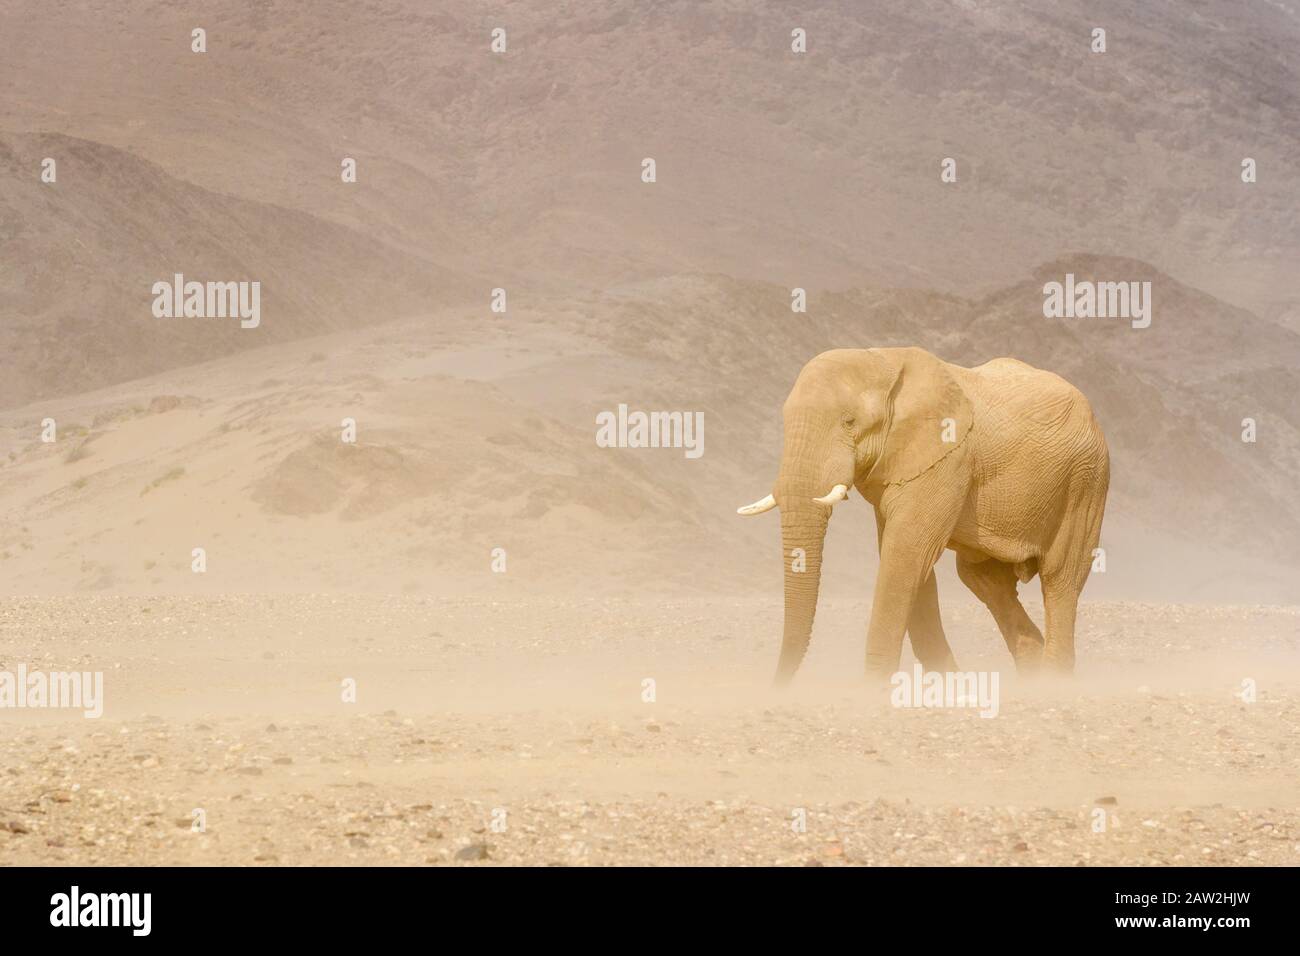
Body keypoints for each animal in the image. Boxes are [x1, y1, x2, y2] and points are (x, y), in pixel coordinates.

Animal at [737, 347, 1109, 684]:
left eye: (849, 421)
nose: (776, 686)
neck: (882, 359)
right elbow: (908, 561)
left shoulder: (947, 458)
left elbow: (906, 555)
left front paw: (872, 692)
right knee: (984, 581)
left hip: (1086, 482)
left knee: (1060, 578)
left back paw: (1052, 684)